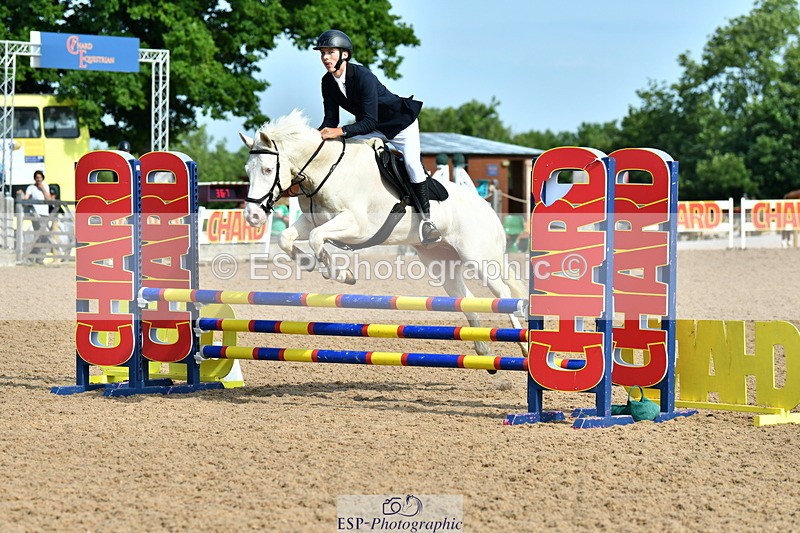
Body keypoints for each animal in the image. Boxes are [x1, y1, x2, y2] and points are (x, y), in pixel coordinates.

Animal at [238, 109, 527, 357]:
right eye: (247, 171)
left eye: (267, 169)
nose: (252, 216)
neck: (327, 170)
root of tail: (488, 208)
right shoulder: (311, 221)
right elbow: (288, 238)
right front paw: (311, 263)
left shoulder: (358, 226)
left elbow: (317, 238)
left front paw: (340, 274)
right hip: (440, 261)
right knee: (465, 297)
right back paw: (482, 347)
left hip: (479, 257)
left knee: (503, 293)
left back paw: (523, 345)